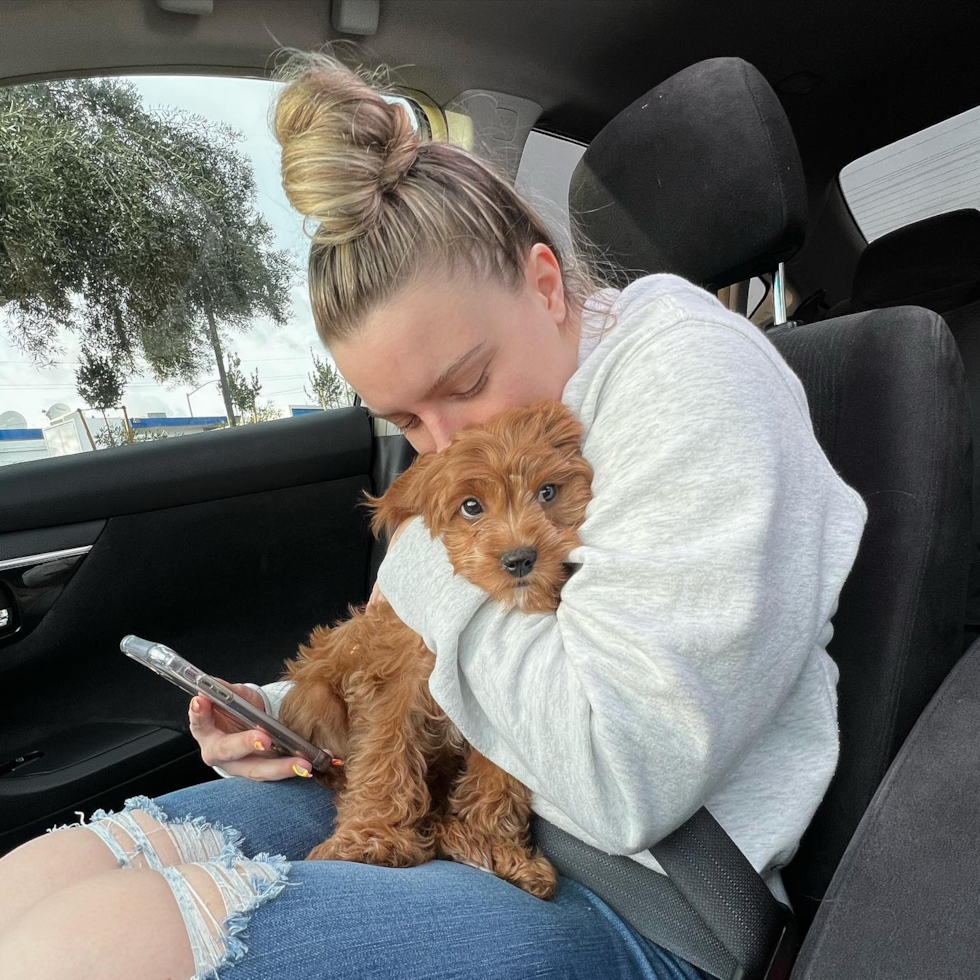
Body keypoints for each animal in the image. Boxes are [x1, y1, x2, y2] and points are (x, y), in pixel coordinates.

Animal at [280, 398, 592, 896]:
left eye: (548, 493)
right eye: (471, 507)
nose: (521, 558)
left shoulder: (495, 713)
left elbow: (499, 775)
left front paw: (495, 846)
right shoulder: (394, 685)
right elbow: (384, 757)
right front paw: (371, 838)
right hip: (316, 698)